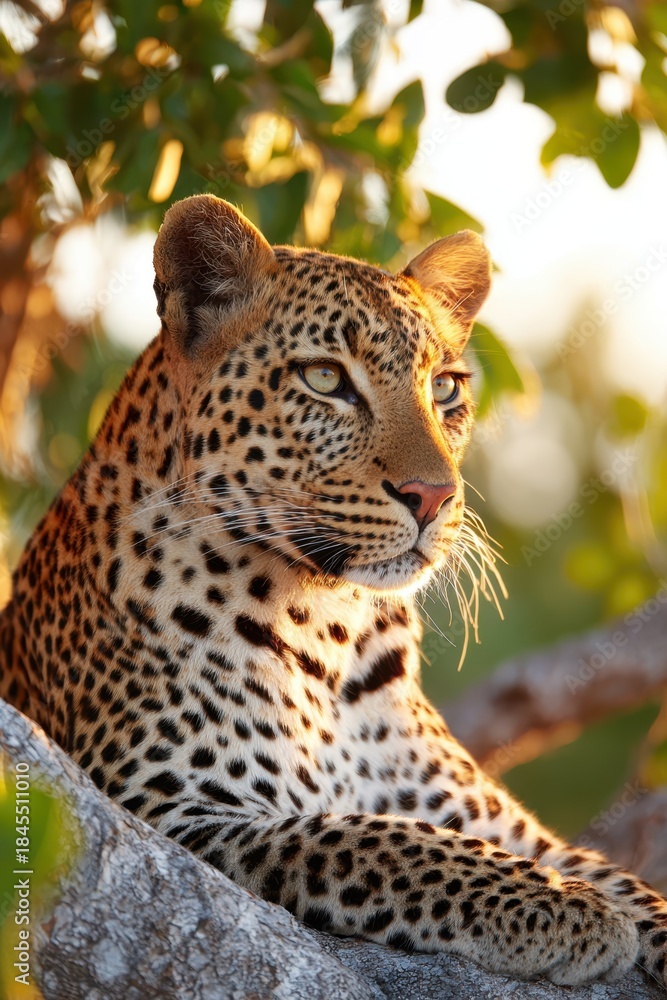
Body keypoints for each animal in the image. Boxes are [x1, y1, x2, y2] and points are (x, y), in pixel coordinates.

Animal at [1, 193, 666, 991]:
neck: (330, 630)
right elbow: (379, 840)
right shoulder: (171, 808)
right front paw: (566, 909)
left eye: (445, 388)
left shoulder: (500, 822)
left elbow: (627, 882)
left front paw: (603, 903)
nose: (434, 496)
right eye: (324, 380)